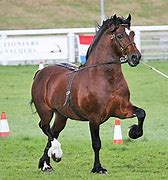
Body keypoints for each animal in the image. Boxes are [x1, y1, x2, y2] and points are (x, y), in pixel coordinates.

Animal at [31, 14, 146, 174]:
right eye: (120, 35)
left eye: (133, 34)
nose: (135, 57)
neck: (105, 78)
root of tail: (41, 72)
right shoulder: (94, 118)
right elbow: (96, 143)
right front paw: (98, 168)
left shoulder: (121, 110)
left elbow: (141, 113)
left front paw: (134, 132)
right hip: (46, 111)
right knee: (45, 127)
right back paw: (55, 154)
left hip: (61, 115)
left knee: (53, 132)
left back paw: (46, 163)